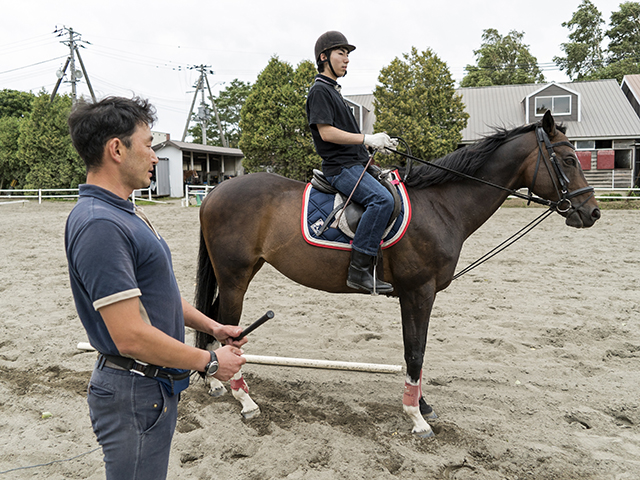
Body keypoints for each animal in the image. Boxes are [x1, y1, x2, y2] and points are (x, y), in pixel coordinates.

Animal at [194, 111, 601, 437]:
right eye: (568, 159)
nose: (592, 212)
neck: (441, 206)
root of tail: (215, 191)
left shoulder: (417, 293)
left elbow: (415, 349)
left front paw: (421, 405)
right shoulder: (419, 291)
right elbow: (415, 350)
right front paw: (416, 417)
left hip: (239, 273)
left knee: (214, 319)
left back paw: (214, 381)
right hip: (235, 276)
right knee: (230, 328)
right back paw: (244, 399)